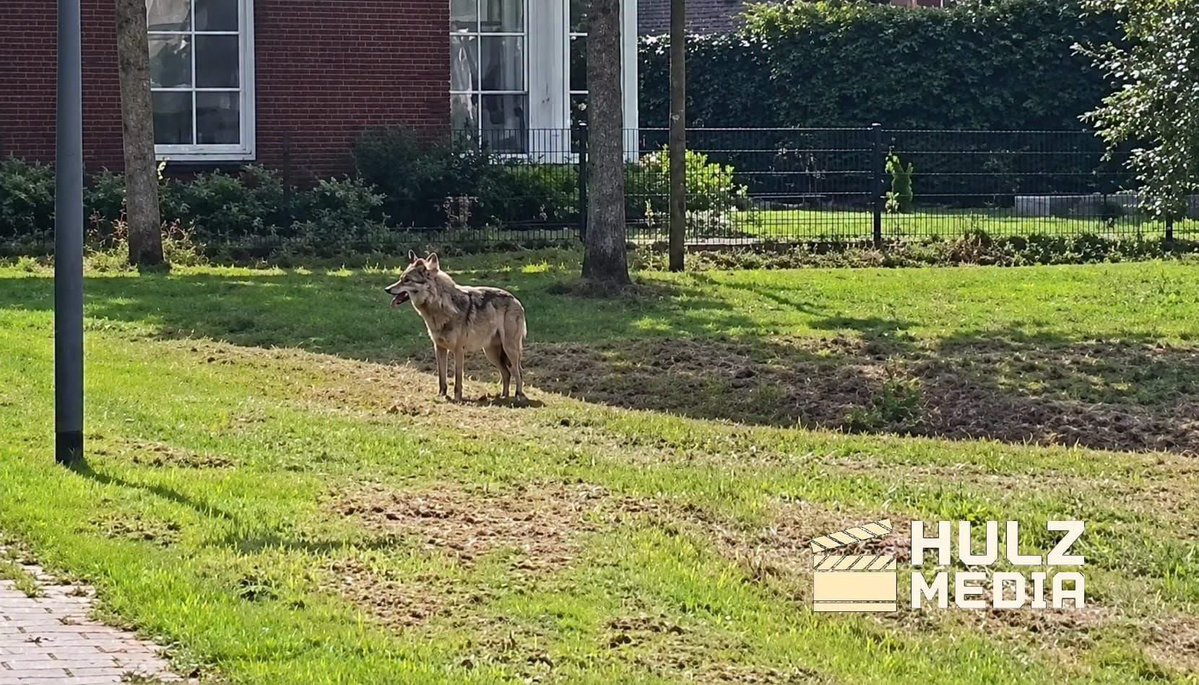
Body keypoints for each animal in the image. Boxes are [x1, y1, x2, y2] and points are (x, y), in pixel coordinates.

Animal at [385, 251, 527, 402]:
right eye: (401, 279)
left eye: (407, 280)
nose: (386, 289)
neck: (440, 306)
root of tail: (516, 300)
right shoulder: (439, 348)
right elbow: (442, 377)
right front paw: (441, 395)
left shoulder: (458, 350)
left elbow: (458, 379)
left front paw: (457, 398)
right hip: (491, 353)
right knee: (507, 373)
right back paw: (503, 397)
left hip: (509, 350)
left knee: (518, 372)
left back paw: (518, 397)